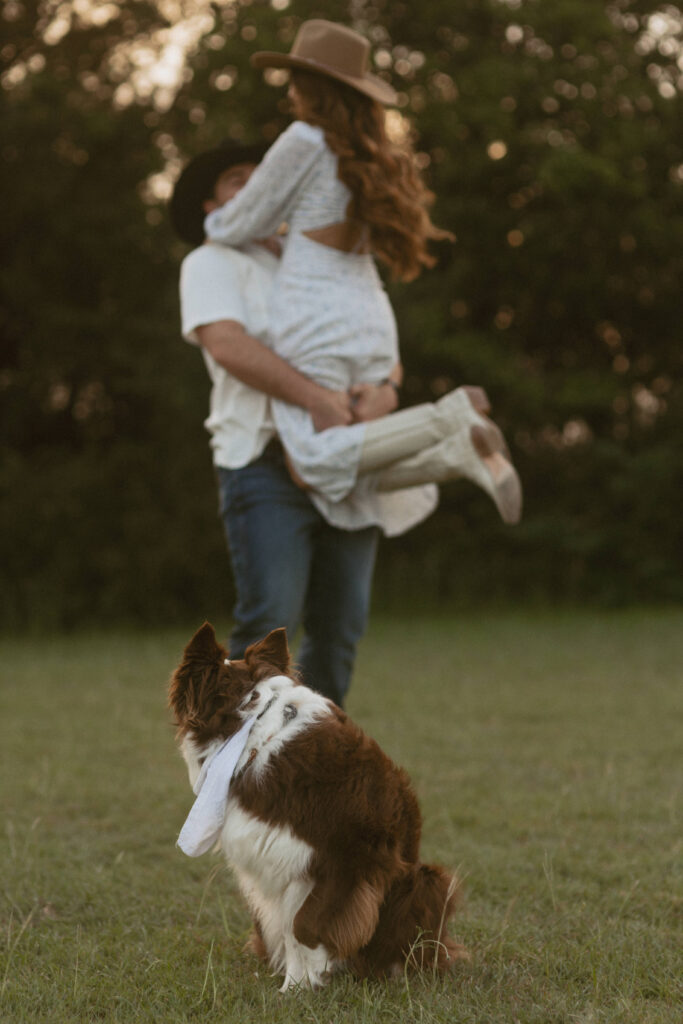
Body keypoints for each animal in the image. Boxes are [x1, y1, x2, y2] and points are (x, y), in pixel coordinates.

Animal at [168, 618, 466, 987]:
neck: (255, 727)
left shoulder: (352, 856)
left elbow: (304, 926)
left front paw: (300, 988)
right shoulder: (288, 859)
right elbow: (289, 928)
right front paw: (297, 984)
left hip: (427, 881)